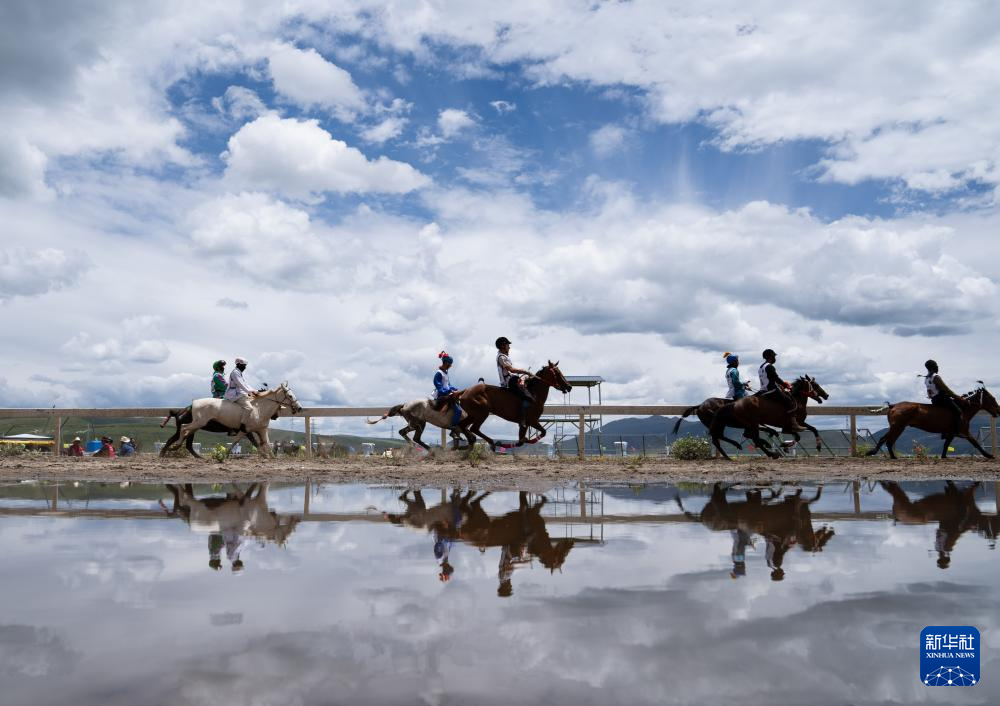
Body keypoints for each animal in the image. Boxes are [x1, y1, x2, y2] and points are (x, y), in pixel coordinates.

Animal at [170, 382, 300, 460]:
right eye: (290, 396)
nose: (299, 408)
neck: (258, 409)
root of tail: (194, 402)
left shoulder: (261, 430)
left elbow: (265, 443)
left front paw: (271, 457)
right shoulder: (246, 430)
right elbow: (244, 442)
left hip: (197, 424)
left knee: (186, 432)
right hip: (199, 423)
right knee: (184, 428)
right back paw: (175, 446)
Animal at [864, 382, 996, 460]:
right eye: (992, 398)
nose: (998, 411)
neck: (963, 409)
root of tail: (893, 405)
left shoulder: (953, 433)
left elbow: (946, 445)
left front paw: (943, 456)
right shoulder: (962, 431)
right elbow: (975, 443)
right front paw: (988, 455)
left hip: (896, 427)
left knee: (884, 439)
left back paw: (878, 453)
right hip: (898, 427)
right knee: (888, 441)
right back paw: (889, 456)